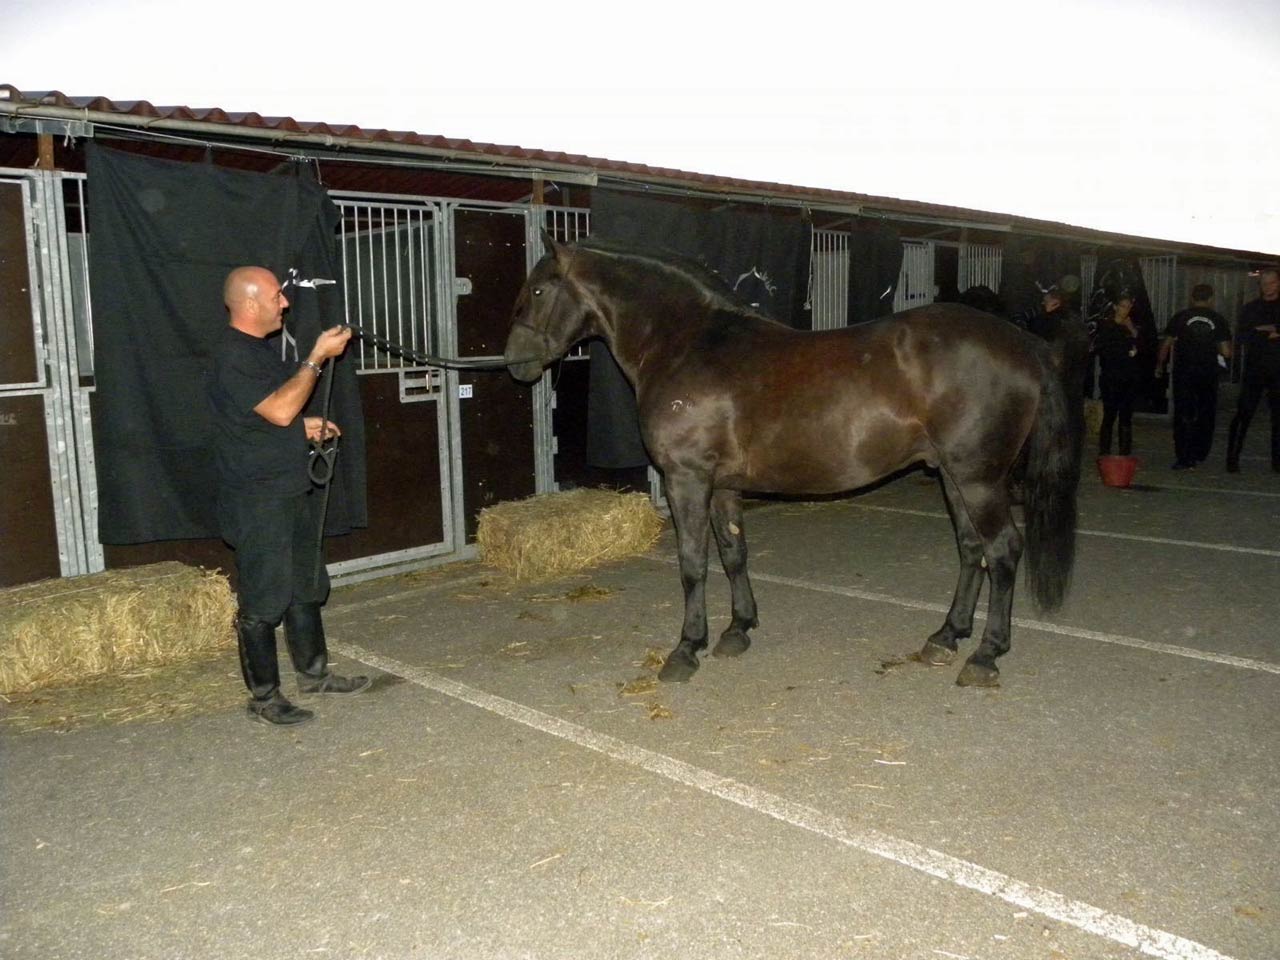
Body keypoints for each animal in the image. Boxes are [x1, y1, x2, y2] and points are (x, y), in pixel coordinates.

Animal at [503, 235, 1082, 687]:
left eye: (538, 289)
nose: (514, 363)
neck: (687, 343)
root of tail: (1026, 344)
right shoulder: (723, 485)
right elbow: (733, 553)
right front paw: (737, 630)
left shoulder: (686, 479)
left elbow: (693, 564)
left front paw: (686, 649)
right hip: (953, 475)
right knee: (971, 549)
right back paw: (946, 636)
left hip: (978, 477)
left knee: (1002, 550)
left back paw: (985, 655)